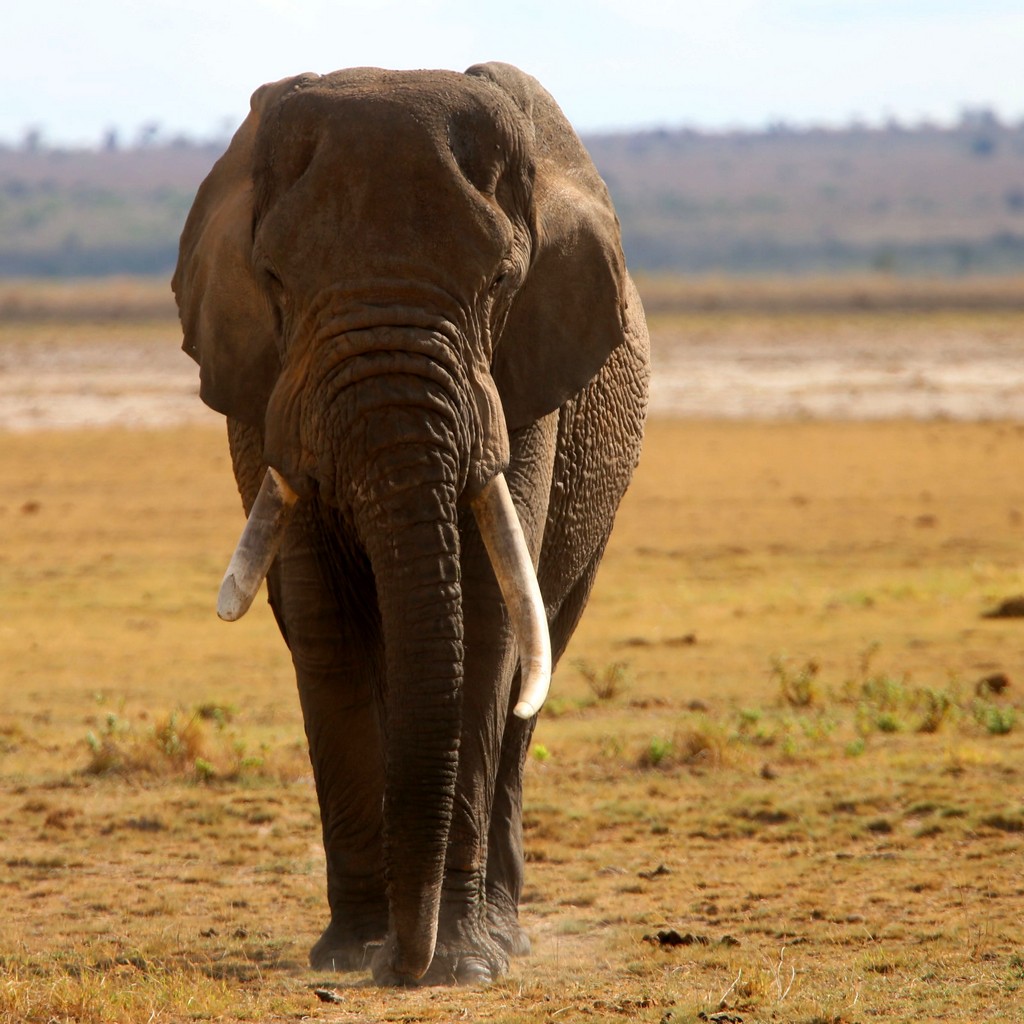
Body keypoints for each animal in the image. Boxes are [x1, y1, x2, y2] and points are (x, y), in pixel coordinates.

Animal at [168, 58, 647, 983]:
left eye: (500, 283)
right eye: (276, 283)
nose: (405, 964)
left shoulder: (522, 384)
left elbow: (490, 623)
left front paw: (461, 965)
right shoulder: (270, 401)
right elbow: (323, 622)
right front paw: (350, 955)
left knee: (535, 659)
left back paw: (501, 934)